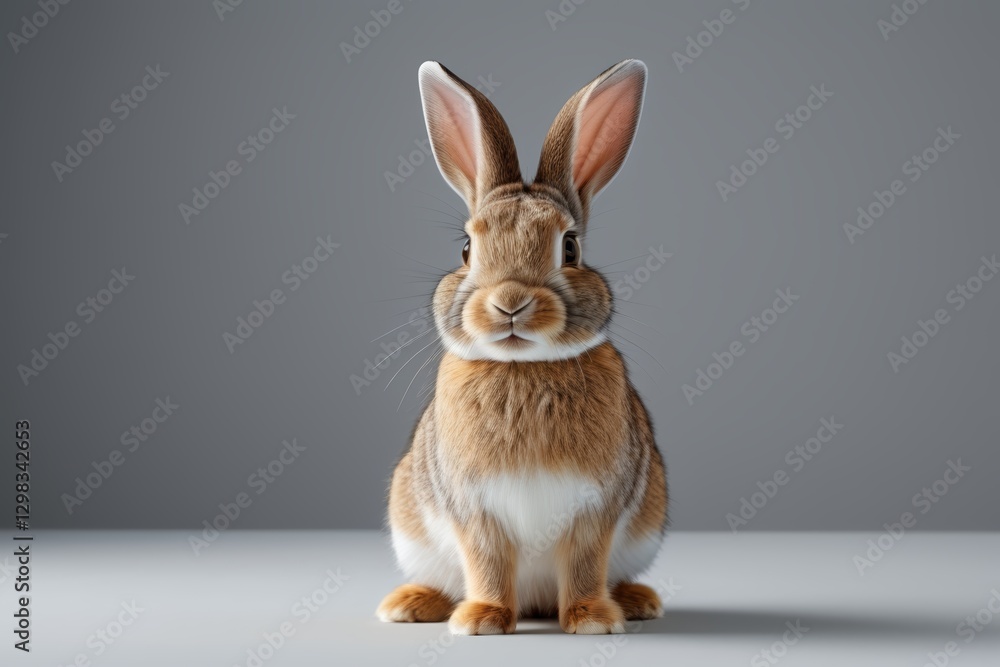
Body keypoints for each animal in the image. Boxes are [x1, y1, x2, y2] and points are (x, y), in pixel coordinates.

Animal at [376, 59, 668, 635]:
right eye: (466, 249)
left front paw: (591, 619)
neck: (523, 365)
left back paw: (637, 600)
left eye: (570, 247)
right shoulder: (476, 510)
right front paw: (483, 620)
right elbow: (487, 561)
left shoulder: (594, 509)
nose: (510, 302)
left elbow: (584, 563)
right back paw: (409, 604)